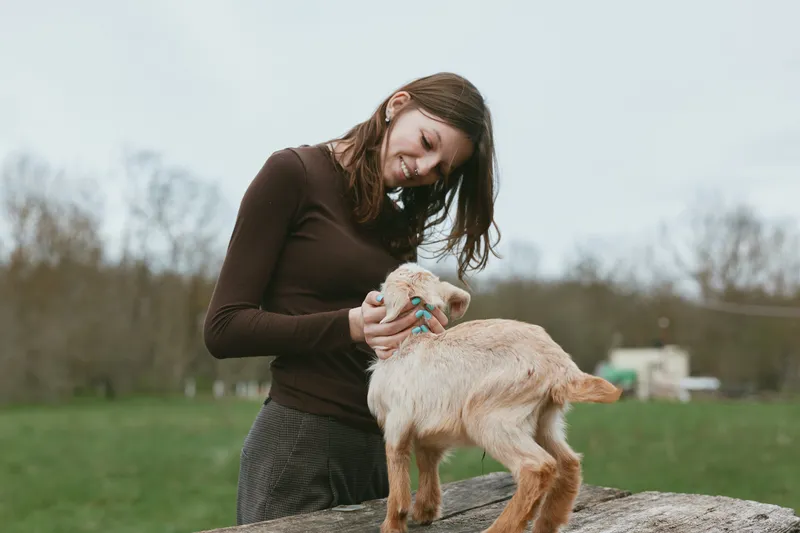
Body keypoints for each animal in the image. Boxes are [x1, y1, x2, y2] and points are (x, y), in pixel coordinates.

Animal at [366, 263, 622, 533]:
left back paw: (500, 528)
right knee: (568, 463)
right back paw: (546, 523)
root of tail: (561, 367)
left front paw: (392, 524)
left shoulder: (397, 420)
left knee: (537, 467)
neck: (411, 341)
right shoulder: (428, 431)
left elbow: (397, 469)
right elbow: (427, 463)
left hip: (491, 416)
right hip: (545, 419)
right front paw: (425, 511)